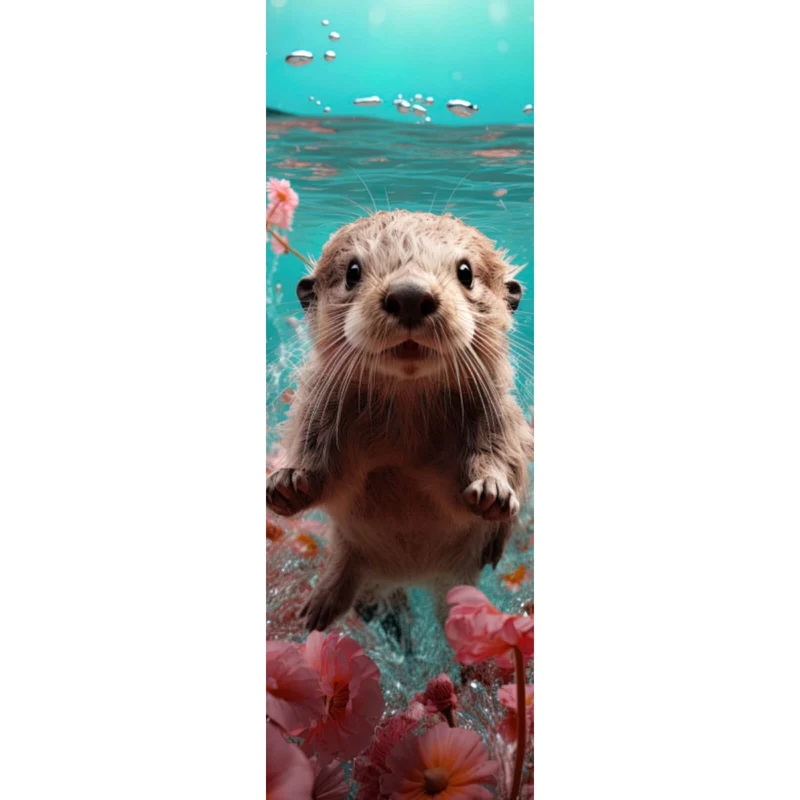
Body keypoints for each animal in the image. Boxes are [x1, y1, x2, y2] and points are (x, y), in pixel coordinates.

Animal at [266, 210, 533, 631]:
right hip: (349, 554)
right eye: (353, 271)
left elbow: (501, 458)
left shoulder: (500, 418)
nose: (409, 295)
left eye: (465, 272)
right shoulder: (317, 412)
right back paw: (315, 613)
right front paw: (289, 482)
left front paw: (492, 490)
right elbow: (322, 469)